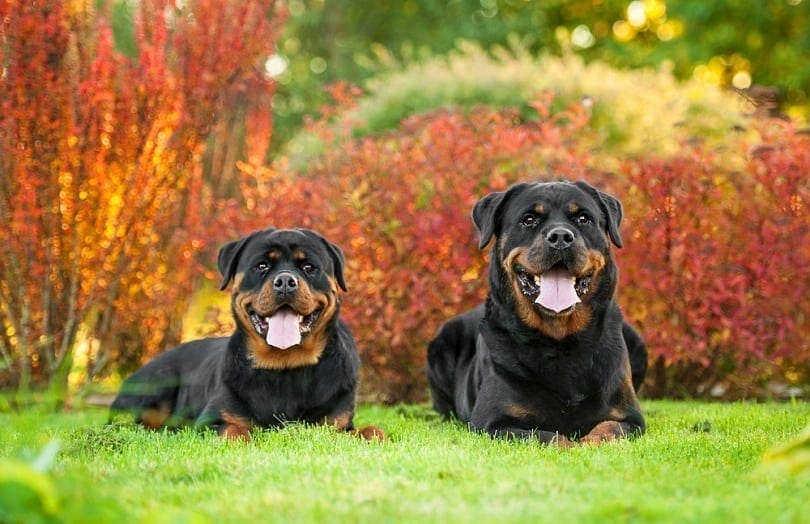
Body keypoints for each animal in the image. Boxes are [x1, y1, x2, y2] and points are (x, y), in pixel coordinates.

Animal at [110, 227, 382, 440]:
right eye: (261, 266)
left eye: (308, 267)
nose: (285, 281)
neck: (286, 366)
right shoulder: (210, 421)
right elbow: (235, 430)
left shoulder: (337, 423)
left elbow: (373, 431)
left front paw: (373, 434)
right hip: (158, 381)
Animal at [426, 181, 648, 446]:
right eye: (529, 219)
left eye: (583, 218)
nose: (561, 237)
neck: (560, 343)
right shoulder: (492, 423)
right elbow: (546, 436)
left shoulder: (630, 418)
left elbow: (607, 430)